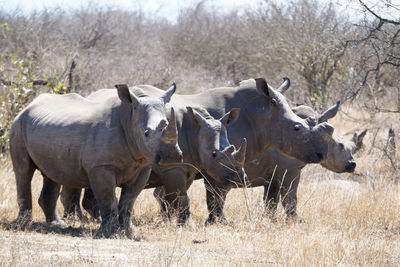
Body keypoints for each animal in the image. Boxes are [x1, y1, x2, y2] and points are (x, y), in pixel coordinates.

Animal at [9, 84, 178, 239]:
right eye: (146, 133)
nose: (171, 157)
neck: (129, 118)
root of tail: (27, 106)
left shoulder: (143, 166)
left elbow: (129, 200)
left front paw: (129, 231)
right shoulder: (100, 166)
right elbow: (108, 199)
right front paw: (109, 233)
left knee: (52, 174)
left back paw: (57, 223)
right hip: (18, 125)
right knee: (24, 171)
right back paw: (23, 223)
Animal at [202, 101, 368, 225]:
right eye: (340, 145)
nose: (352, 165)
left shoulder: (273, 175)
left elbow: (271, 201)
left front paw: (271, 221)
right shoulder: (290, 169)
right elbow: (290, 197)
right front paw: (297, 221)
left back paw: (212, 222)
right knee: (220, 188)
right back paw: (220, 222)